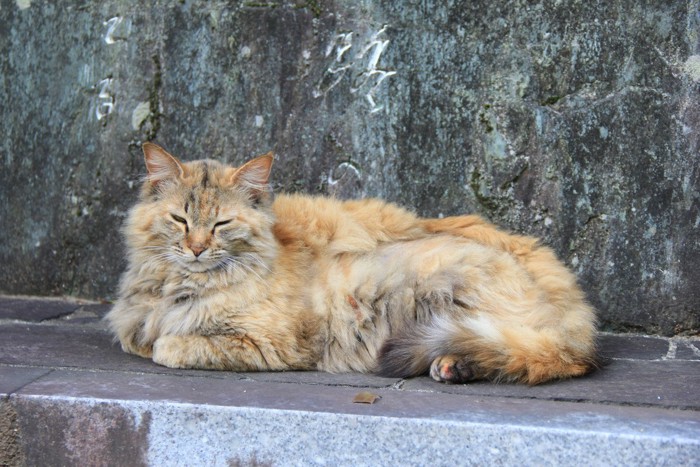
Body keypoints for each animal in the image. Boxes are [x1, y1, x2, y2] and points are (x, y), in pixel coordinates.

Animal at [104, 144, 596, 386]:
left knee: (542, 359)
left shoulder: (268, 345)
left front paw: (166, 342)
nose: (196, 249)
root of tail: (574, 315)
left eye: (221, 224)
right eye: (180, 220)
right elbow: (139, 339)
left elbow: (169, 346)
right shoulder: (136, 320)